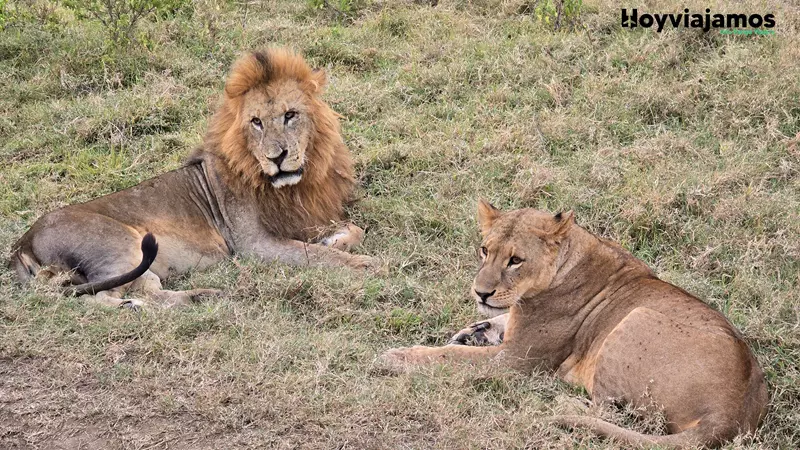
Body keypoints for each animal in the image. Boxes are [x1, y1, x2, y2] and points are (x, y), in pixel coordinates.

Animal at [10, 48, 377, 308]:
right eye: (256, 122)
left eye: (290, 115)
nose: (277, 157)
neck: (290, 187)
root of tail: (22, 243)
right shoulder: (253, 244)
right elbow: (315, 256)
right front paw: (365, 264)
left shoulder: (303, 219)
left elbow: (352, 232)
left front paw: (337, 241)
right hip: (120, 246)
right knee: (103, 297)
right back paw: (160, 303)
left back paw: (201, 296)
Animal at [381, 200, 768, 448]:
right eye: (484, 250)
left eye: (515, 260)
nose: (481, 292)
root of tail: (729, 413)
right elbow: (495, 321)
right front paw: (472, 331)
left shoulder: (515, 362)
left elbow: (446, 358)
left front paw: (395, 357)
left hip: (636, 318)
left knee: (609, 408)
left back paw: (562, 404)